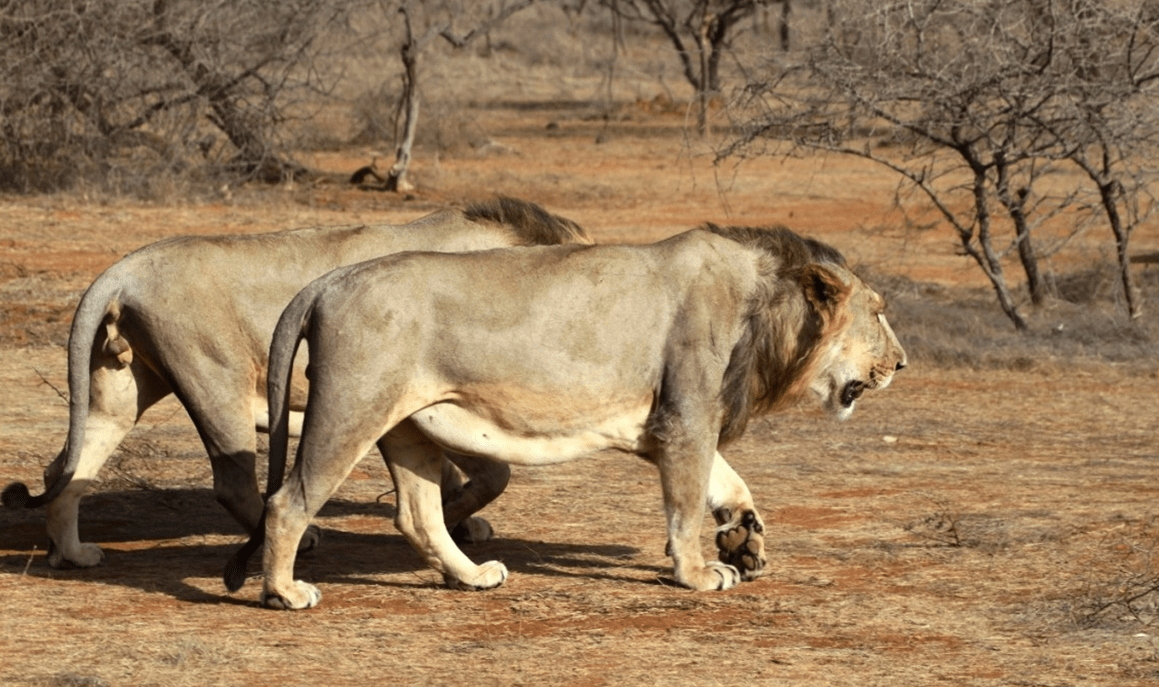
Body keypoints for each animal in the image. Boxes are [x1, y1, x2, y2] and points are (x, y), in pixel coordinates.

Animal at [2, 195, 588, 565]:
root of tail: (120, 270)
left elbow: (450, 474)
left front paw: (458, 523)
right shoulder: (448, 398)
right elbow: (492, 476)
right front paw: (454, 518)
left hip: (121, 389)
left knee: (69, 468)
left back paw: (71, 555)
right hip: (217, 380)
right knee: (233, 483)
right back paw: (300, 543)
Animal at [223, 220, 904, 607]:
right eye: (877, 311)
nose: (901, 363)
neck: (765, 310)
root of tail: (327, 280)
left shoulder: (679, 423)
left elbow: (728, 482)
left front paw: (745, 538)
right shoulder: (685, 419)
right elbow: (686, 505)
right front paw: (698, 574)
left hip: (407, 425)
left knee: (417, 517)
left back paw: (472, 578)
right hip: (349, 409)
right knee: (287, 502)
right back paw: (283, 593)